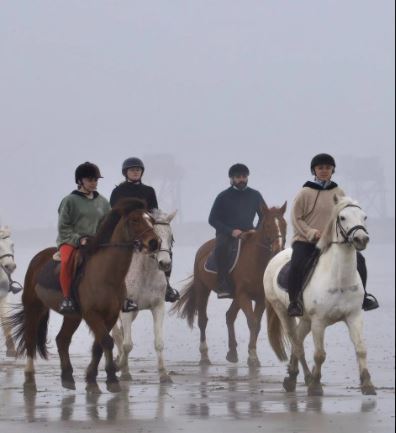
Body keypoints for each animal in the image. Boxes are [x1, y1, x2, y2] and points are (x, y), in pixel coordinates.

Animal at [7, 197, 160, 394]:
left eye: (151, 220)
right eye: (134, 220)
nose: (155, 242)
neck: (106, 274)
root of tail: (38, 258)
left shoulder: (110, 315)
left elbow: (98, 346)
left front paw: (92, 380)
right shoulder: (92, 314)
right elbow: (106, 341)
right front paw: (111, 379)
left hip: (72, 316)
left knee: (62, 340)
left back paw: (67, 377)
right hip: (34, 308)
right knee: (31, 338)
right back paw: (29, 378)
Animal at [113, 208, 178, 382]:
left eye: (171, 238)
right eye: (155, 239)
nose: (165, 264)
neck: (146, 273)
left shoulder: (158, 307)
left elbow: (159, 342)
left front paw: (163, 374)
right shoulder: (125, 310)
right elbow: (127, 344)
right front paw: (123, 370)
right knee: (117, 334)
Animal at [172, 202, 286, 368]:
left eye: (284, 224)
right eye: (268, 225)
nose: (279, 248)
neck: (257, 261)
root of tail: (203, 249)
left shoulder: (259, 299)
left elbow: (256, 325)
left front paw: (252, 354)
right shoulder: (243, 295)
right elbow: (252, 322)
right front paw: (253, 357)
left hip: (235, 297)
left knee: (229, 316)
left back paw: (232, 353)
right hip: (203, 289)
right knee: (203, 321)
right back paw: (204, 356)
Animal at [264, 196, 376, 394]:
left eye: (364, 217)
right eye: (342, 218)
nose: (361, 239)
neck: (339, 279)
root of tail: (275, 257)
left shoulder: (354, 316)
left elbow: (361, 348)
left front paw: (368, 384)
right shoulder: (319, 321)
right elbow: (319, 354)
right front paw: (316, 386)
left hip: (305, 319)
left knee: (298, 339)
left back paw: (293, 376)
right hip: (283, 312)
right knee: (297, 344)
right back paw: (303, 378)